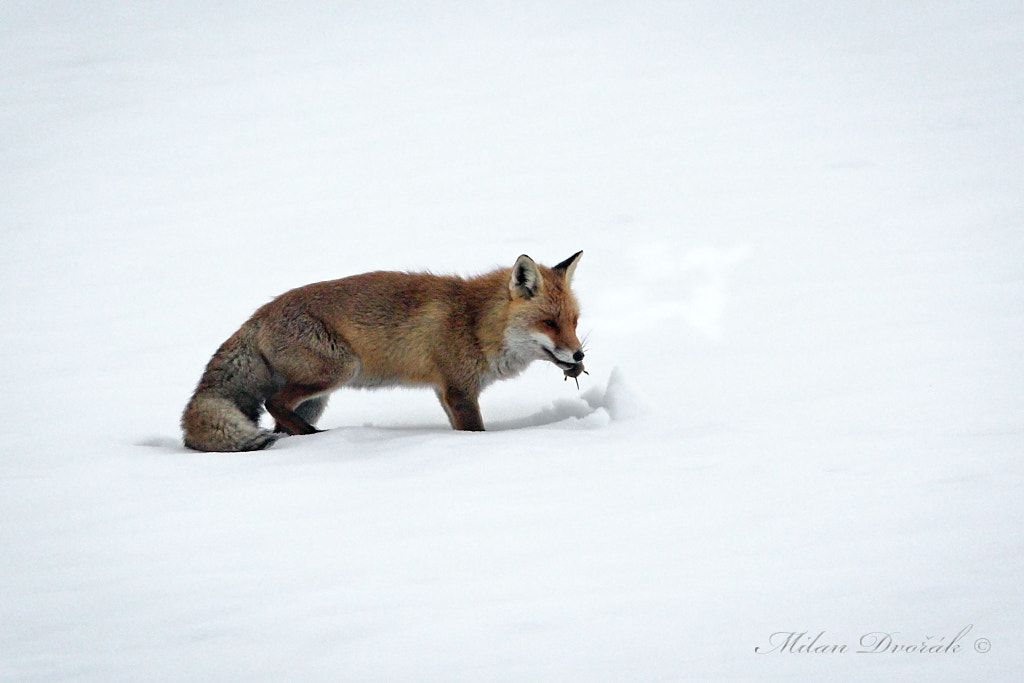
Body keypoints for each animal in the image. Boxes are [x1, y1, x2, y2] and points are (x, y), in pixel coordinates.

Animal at [181, 248, 589, 450]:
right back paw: (318, 440)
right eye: (549, 323)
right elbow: (476, 433)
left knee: (280, 417)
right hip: (338, 370)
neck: (475, 322)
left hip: (317, 397)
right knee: (273, 404)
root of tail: (258, 315)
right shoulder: (459, 390)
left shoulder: (446, 392)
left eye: (574, 322)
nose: (579, 356)